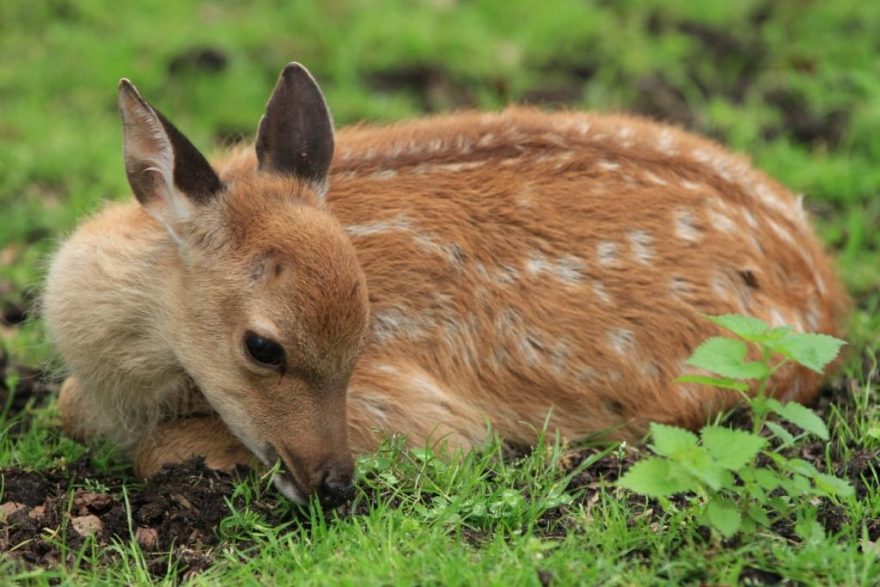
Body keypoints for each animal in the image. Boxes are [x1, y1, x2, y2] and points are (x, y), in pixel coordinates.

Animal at [41, 63, 844, 506]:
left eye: (365, 335)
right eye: (262, 347)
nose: (336, 483)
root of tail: (829, 284)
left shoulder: (424, 417)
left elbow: (156, 449)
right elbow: (65, 406)